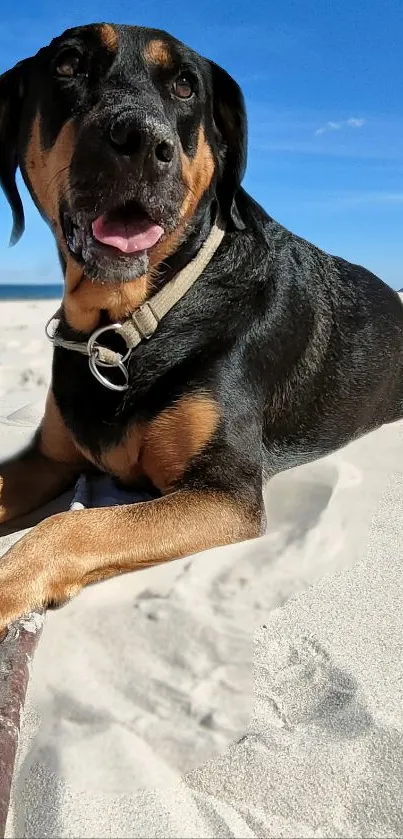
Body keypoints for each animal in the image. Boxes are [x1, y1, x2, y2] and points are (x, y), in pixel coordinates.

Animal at [0, 21, 403, 632]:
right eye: (68, 65)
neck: (130, 324)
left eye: (186, 86)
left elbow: (71, 524)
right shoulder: (51, 457)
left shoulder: (224, 492)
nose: (142, 142)